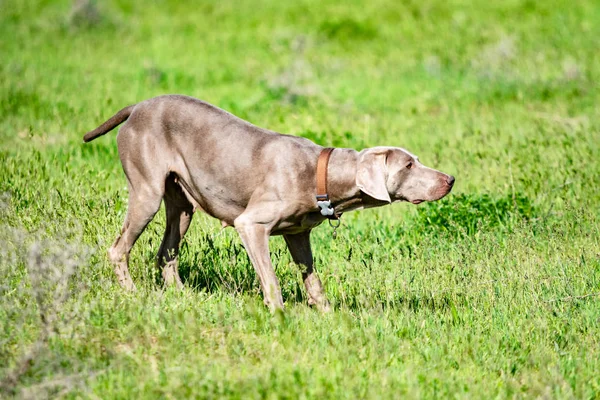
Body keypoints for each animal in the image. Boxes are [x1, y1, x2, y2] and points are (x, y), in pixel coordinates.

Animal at [82, 95, 452, 310]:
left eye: (417, 161)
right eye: (408, 166)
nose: (450, 180)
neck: (318, 173)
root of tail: (137, 107)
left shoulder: (297, 234)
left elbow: (312, 279)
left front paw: (326, 315)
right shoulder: (251, 225)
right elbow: (270, 279)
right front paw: (279, 317)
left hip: (183, 202)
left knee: (166, 254)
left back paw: (182, 297)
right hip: (147, 193)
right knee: (118, 249)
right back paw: (131, 294)